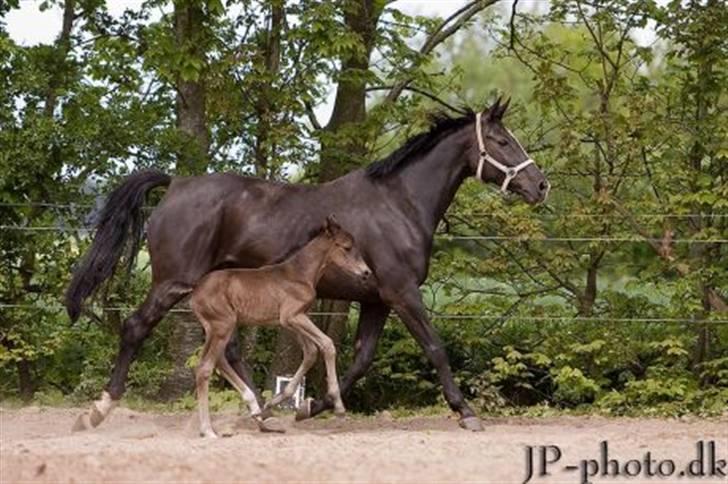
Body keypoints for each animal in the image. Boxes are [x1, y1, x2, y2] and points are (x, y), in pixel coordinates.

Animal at [189, 216, 370, 438]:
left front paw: (277, 401)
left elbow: (310, 352)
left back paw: (256, 411)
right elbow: (327, 344)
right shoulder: (292, 316)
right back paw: (208, 430)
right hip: (222, 325)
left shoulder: (295, 319)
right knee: (205, 367)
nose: (366, 272)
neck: (301, 273)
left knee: (219, 360)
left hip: (218, 328)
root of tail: (195, 294)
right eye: (346, 247)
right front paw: (339, 407)